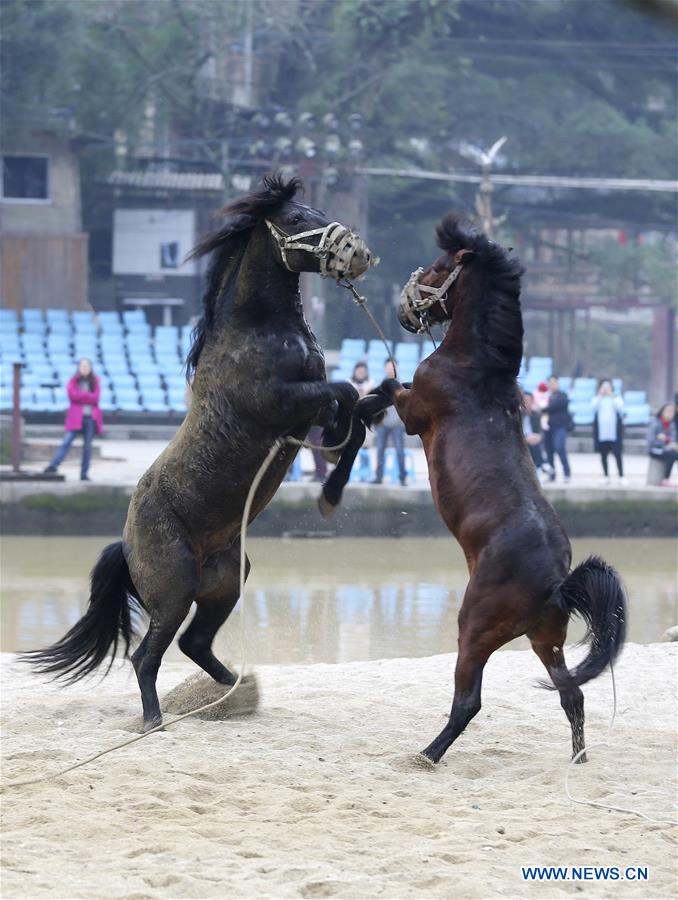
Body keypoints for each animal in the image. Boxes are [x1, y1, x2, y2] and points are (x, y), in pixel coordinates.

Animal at [25, 174, 372, 732]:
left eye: (318, 210)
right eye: (297, 219)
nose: (356, 253)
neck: (258, 330)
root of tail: (126, 546)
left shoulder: (308, 410)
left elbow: (354, 416)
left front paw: (333, 490)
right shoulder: (282, 402)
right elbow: (347, 392)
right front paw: (331, 489)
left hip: (226, 582)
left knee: (194, 643)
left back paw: (233, 692)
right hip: (174, 591)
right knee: (146, 655)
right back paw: (155, 719)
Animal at [322, 214, 628, 764]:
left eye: (440, 266)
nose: (402, 311)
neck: (474, 367)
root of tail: (557, 582)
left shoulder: (414, 412)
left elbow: (377, 396)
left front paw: (335, 479)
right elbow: (373, 394)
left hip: (475, 629)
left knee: (470, 700)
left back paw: (426, 754)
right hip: (545, 640)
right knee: (571, 693)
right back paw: (578, 757)